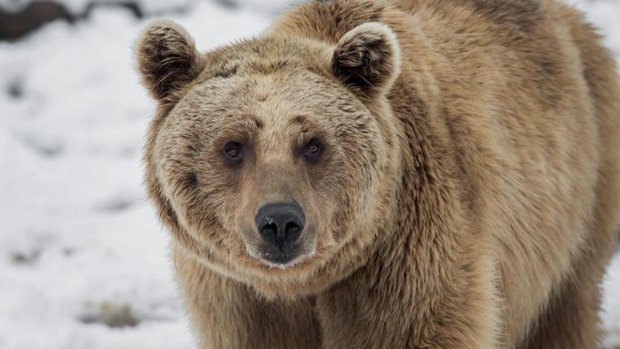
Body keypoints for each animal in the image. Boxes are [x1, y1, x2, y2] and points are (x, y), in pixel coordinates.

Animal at [136, 0, 620, 346]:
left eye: (313, 144)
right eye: (233, 146)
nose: (280, 222)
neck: (303, 285)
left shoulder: (408, 263)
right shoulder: (236, 301)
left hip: (577, 202)